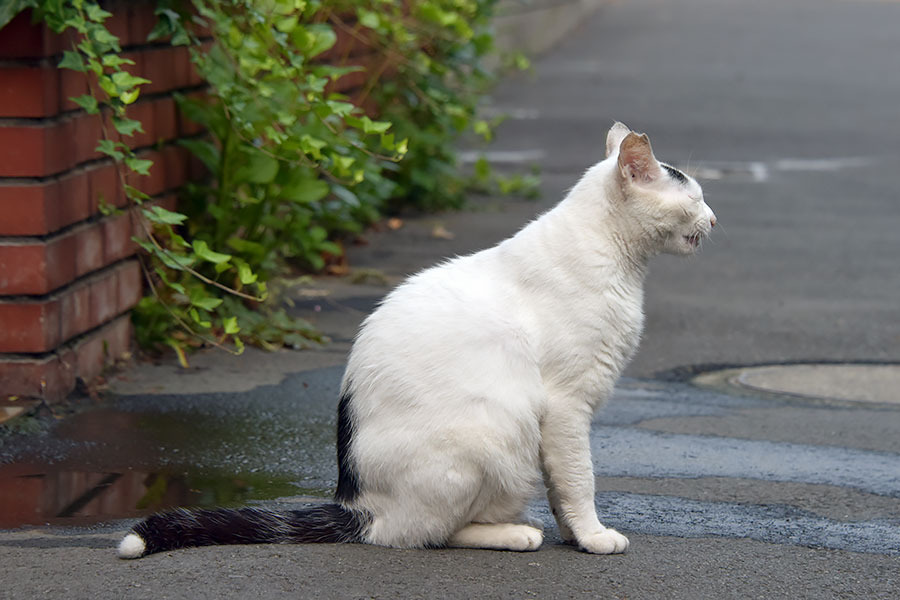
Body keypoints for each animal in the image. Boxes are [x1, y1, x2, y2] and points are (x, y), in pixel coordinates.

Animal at [119, 122, 716, 556]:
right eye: (696, 198)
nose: (714, 219)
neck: (617, 259)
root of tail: (357, 503)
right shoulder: (568, 406)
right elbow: (578, 477)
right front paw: (592, 537)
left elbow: (561, 484)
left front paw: (574, 534)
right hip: (498, 429)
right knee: (422, 534)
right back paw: (514, 533)